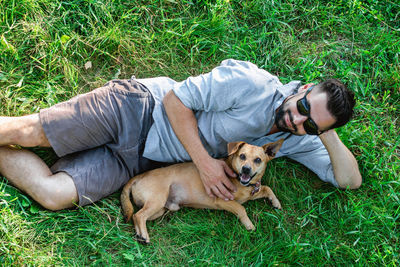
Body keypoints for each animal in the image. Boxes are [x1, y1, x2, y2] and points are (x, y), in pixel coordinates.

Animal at [120, 140, 282, 245]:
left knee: (136, 216)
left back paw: (139, 234)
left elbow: (267, 188)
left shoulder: (253, 192)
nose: (246, 169)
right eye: (242, 156)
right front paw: (249, 224)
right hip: (157, 201)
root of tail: (137, 177)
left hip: (159, 209)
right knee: (138, 215)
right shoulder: (222, 200)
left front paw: (275, 202)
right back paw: (144, 235)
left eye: (258, 160)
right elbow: (241, 208)